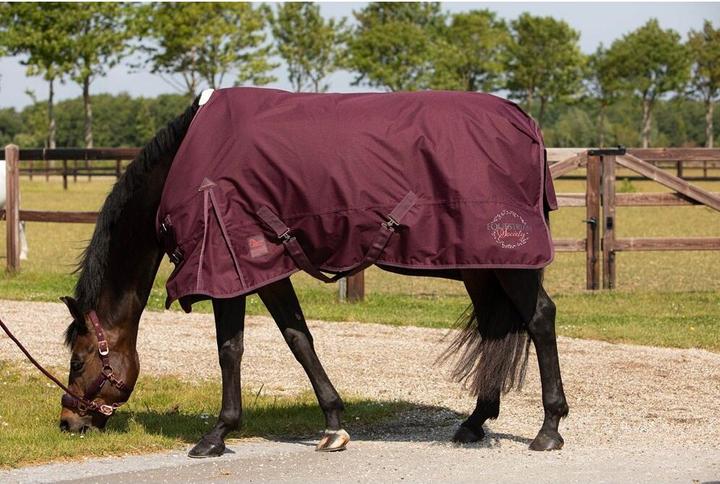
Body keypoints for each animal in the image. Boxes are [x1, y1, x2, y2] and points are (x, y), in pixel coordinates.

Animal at [59, 88, 569, 458]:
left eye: (78, 361)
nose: (68, 423)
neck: (189, 163)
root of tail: (526, 123)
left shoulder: (227, 269)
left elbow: (230, 350)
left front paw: (217, 434)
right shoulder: (265, 269)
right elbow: (299, 338)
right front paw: (334, 425)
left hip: (509, 261)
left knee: (540, 318)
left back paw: (549, 429)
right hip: (480, 268)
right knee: (494, 327)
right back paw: (475, 421)